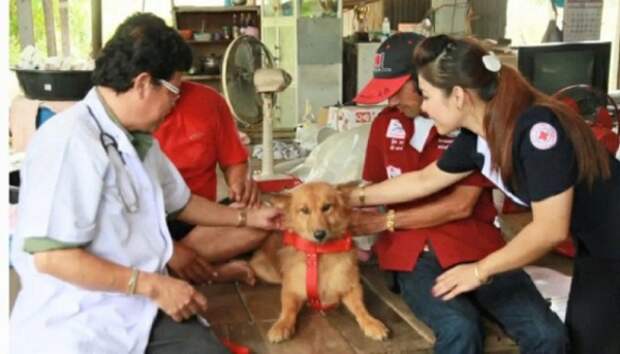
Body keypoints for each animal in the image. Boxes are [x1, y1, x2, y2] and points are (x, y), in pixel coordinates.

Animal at [248, 183, 388, 342]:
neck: (319, 253)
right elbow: (288, 309)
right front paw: (282, 325)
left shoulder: (351, 287)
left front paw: (371, 323)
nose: (319, 234)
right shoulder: (291, 290)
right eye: (304, 210)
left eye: (327, 207)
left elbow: (361, 308)